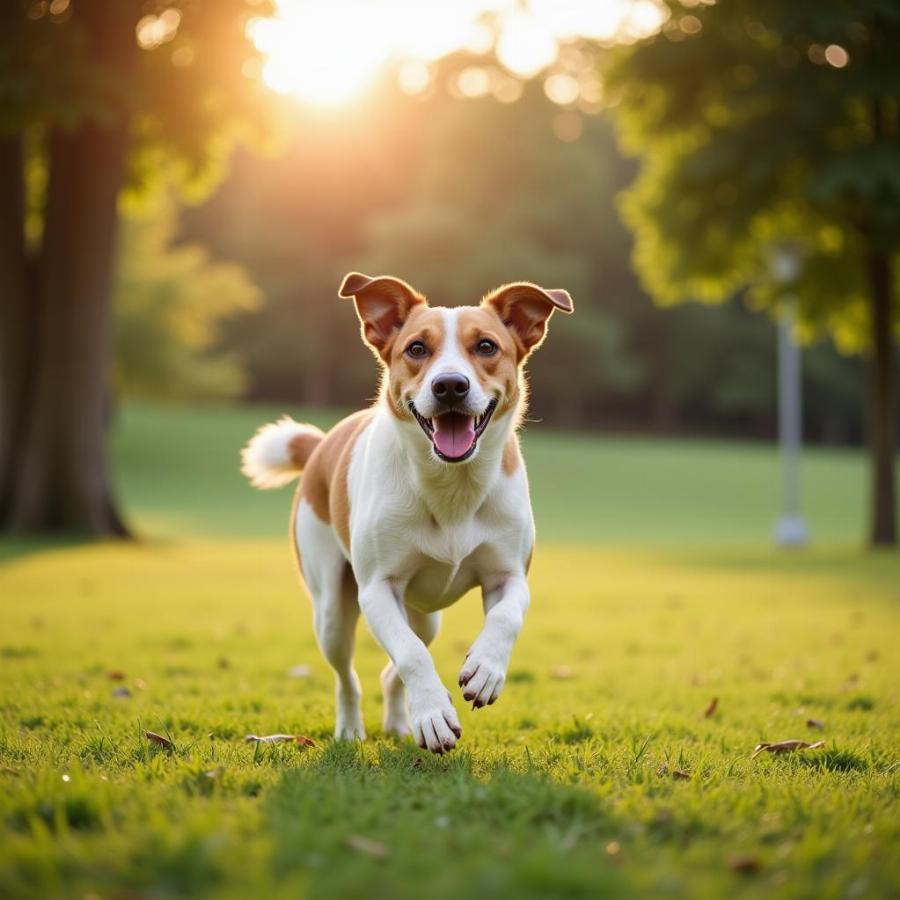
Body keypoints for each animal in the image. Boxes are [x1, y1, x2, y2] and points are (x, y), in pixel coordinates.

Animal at [243, 274, 572, 752]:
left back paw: (400, 722)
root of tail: (323, 443)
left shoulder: (508, 575)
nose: (450, 385)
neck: (451, 485)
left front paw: (485, 671)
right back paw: (351, 728)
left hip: (426, 614)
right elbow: (412, 654)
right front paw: (433, 714)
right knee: (350, 675)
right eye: (416, 348)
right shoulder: (378, 588)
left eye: (486, 346)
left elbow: (505, 616)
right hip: (331, 609)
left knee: (394, 664)